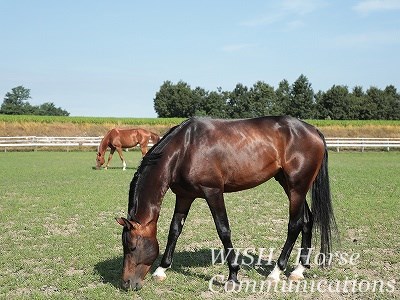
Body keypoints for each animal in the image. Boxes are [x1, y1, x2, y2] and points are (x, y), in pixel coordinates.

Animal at [117, 115, 336, 290]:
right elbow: (175, 230)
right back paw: (299, 270)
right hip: (288, 184)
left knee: (295, 224)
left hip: (297, 187)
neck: (184, 149)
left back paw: (276, 272)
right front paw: (162, 269)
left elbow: (223, 230)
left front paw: (233, 275)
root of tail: (313, 130)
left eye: (132, 247)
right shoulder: (184, 196)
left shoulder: (213, 192)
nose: (127, 283)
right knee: (307, 220)